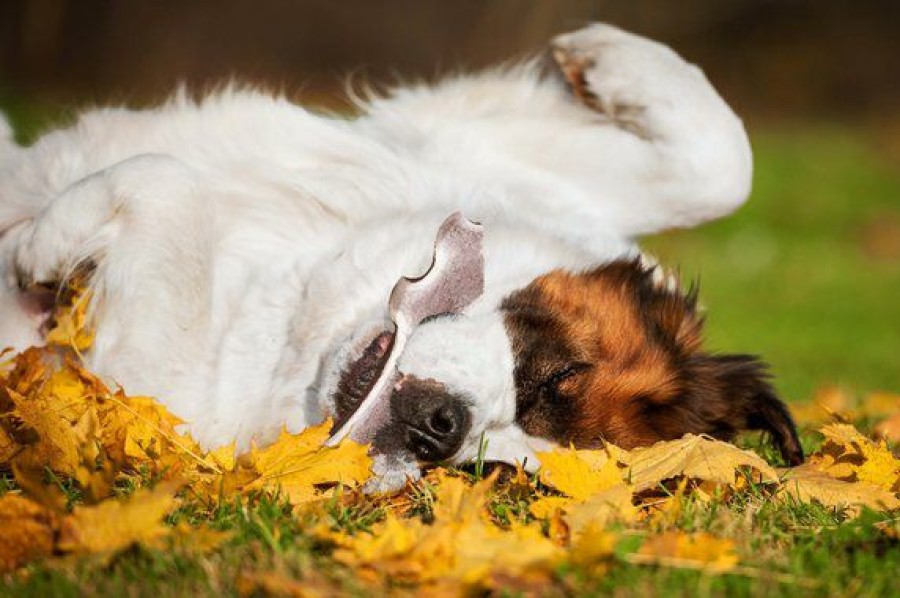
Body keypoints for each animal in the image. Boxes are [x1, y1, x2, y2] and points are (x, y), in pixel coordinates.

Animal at [0, 25, 800, 490]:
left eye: (492, 473)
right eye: (556, 374)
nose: (439, 430)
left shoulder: (153, 382)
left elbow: (167, 182)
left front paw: (41, 244)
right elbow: (724, 162)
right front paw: (599, 53)